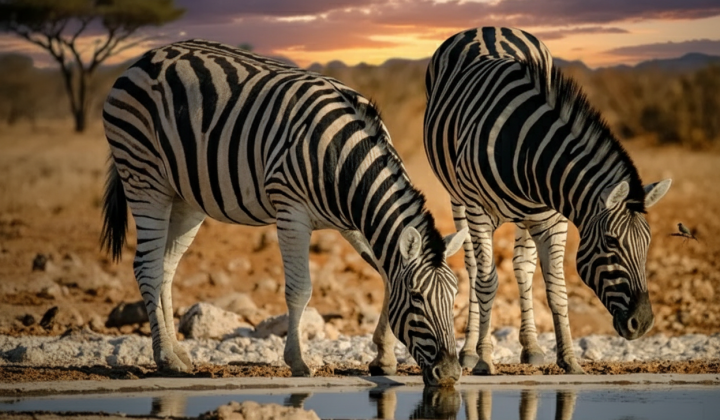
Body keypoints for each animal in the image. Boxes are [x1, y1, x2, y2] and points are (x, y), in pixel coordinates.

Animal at [100, 39, 467, 386]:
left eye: (454, 297)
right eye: (417, 299)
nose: (450, 373)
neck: (344, 161)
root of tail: (143, 59)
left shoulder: (353, 222)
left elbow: (387, 276)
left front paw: (384, 357)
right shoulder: (292, 212)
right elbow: (300, 289)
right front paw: (298, 362)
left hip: (185, 197)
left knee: (165, 267)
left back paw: (177, 351)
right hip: (144, 177)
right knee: (147, 267)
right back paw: (166, 358)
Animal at [423, 27, 672, 374]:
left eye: (647, 243)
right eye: (610, 242)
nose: (644, 322)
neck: (525, 149)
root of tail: (488, 27)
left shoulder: (554, 217)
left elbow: (556, 288)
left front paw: (569, 359)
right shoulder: (478, 210)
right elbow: (487, 281)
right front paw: (485, 359)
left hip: (528, 217)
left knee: (523, 267)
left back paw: (531, 347)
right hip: (458, 197)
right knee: (473, 268)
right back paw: (470, 351)